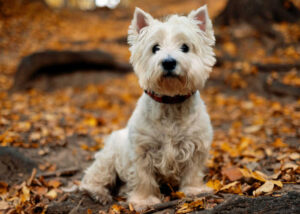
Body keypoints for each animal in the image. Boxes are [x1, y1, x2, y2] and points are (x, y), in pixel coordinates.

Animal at [79, 5, 216, 211]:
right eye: (155, 48)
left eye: (185, 47)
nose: (168, 62)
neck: (170, 103)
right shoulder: (142, 150)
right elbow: (143, 178)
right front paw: (144, 201)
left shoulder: (196, 145)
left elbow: (192, 171)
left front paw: (195, 190)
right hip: (108, 159)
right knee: (92, 178)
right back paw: (99, 194)